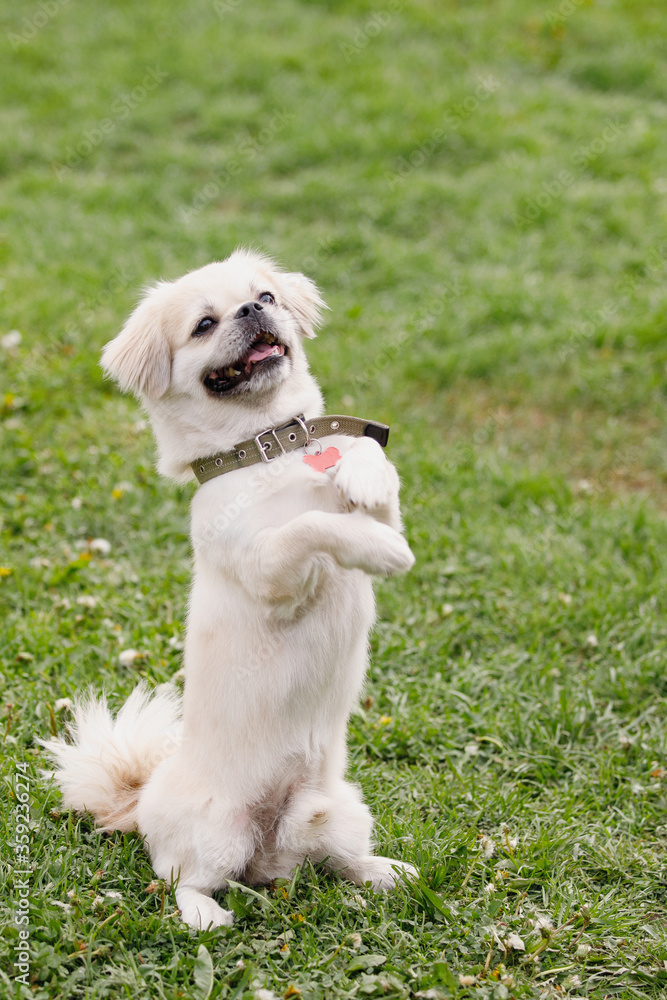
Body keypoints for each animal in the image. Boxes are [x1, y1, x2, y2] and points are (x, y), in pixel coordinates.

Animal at [48, 248, 418, 928]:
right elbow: (311, 525)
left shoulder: (371, 506)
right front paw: (382, 551)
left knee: (333, 861)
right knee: (180, 879)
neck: (266, 447)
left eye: (265, 296)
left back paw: (386, 872)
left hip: (342, 809)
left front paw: (364, 475)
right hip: (218, 831)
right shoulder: (273, 572)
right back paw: (207, 916)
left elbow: (369, 469)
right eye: (203, 325)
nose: (252, 309)